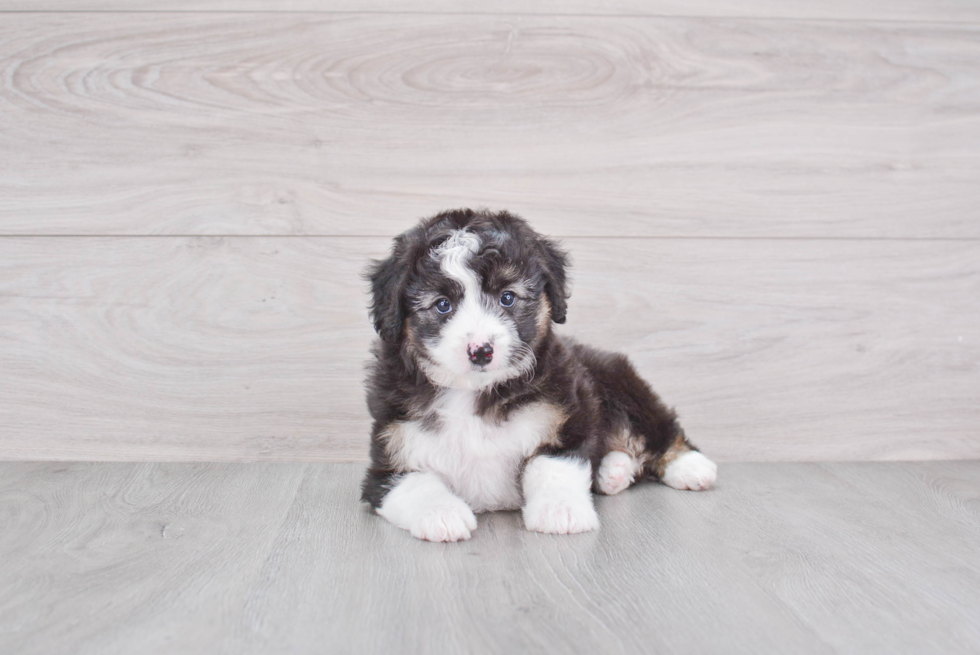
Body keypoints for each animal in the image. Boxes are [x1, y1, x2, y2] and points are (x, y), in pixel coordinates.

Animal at [364, 210, 716, 544]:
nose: (481, 351)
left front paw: (560, 510)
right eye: (442, 305)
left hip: (618, 383)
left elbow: (551, 464)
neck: (474, 392)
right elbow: (414, 483)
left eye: (507, 297)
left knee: (655, 428)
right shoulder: (388, 459)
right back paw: (613, 472)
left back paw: (688, 466)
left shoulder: (567, 418)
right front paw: (440, 514)